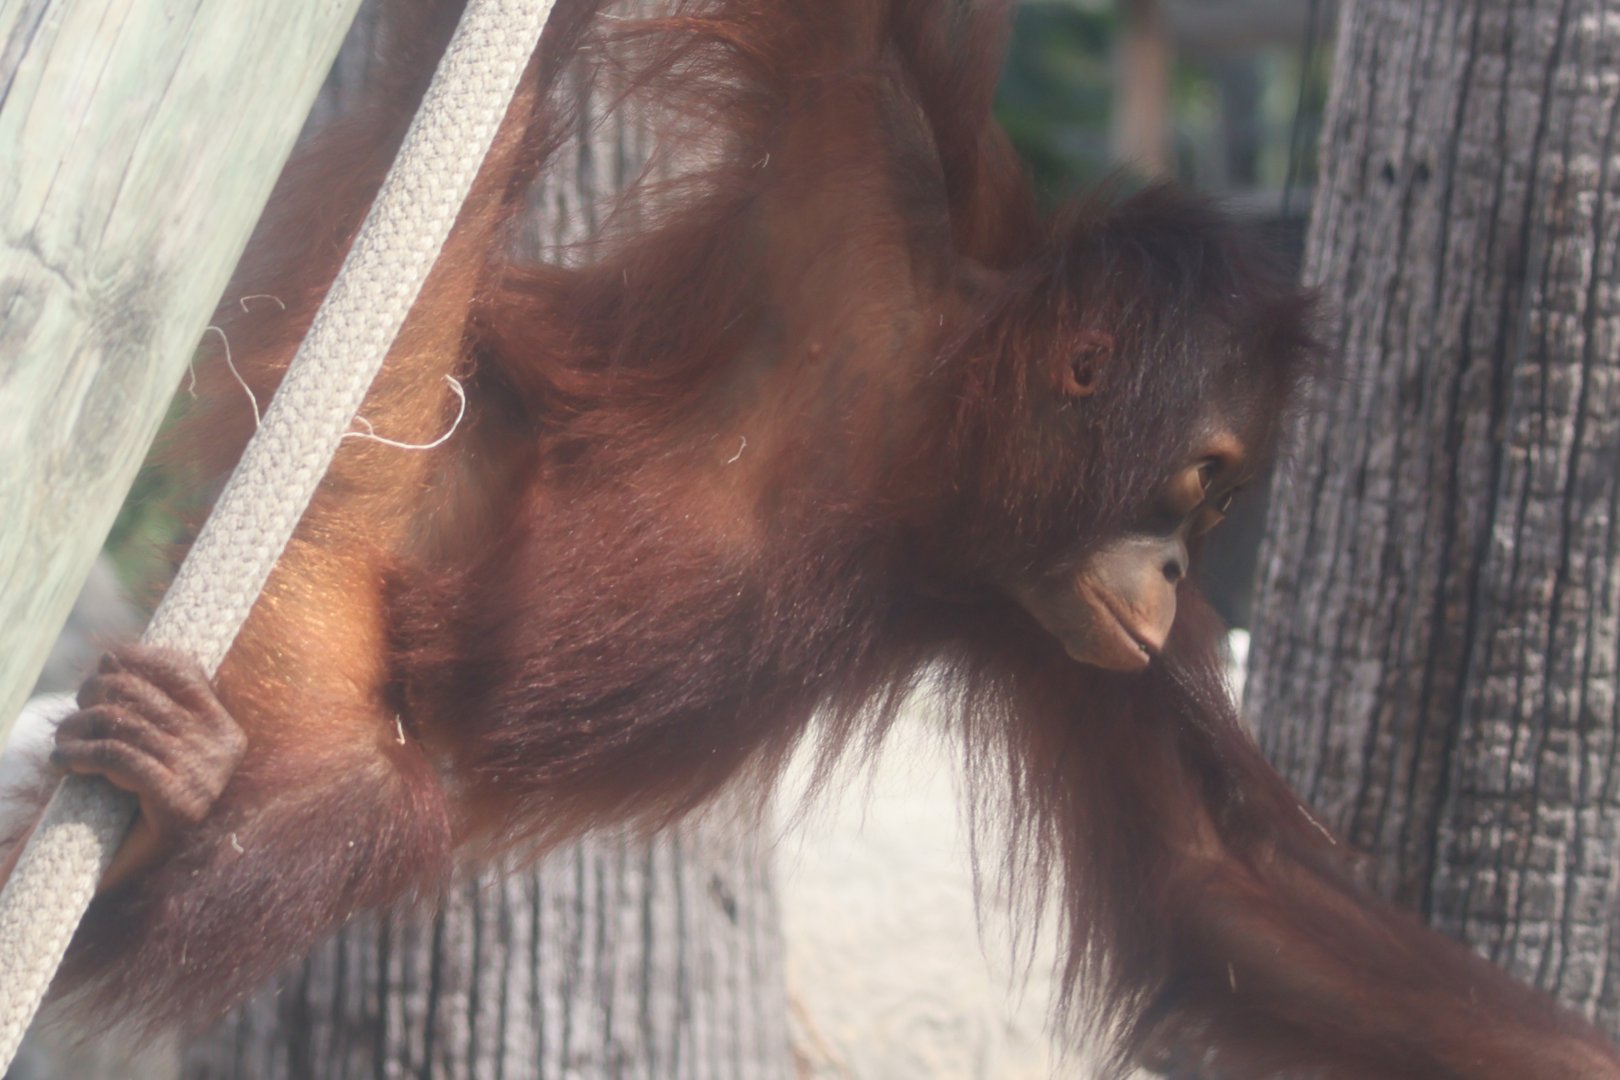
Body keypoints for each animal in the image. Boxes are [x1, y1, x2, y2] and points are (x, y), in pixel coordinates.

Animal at [13, 1, 1620, 1075]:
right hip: (344, 469)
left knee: (351, 808)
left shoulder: (1048, 619)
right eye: (1203, 481)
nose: (1179, 575)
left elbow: (1213, 893)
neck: (928, 441)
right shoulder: (859, 128)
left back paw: (181, 785)